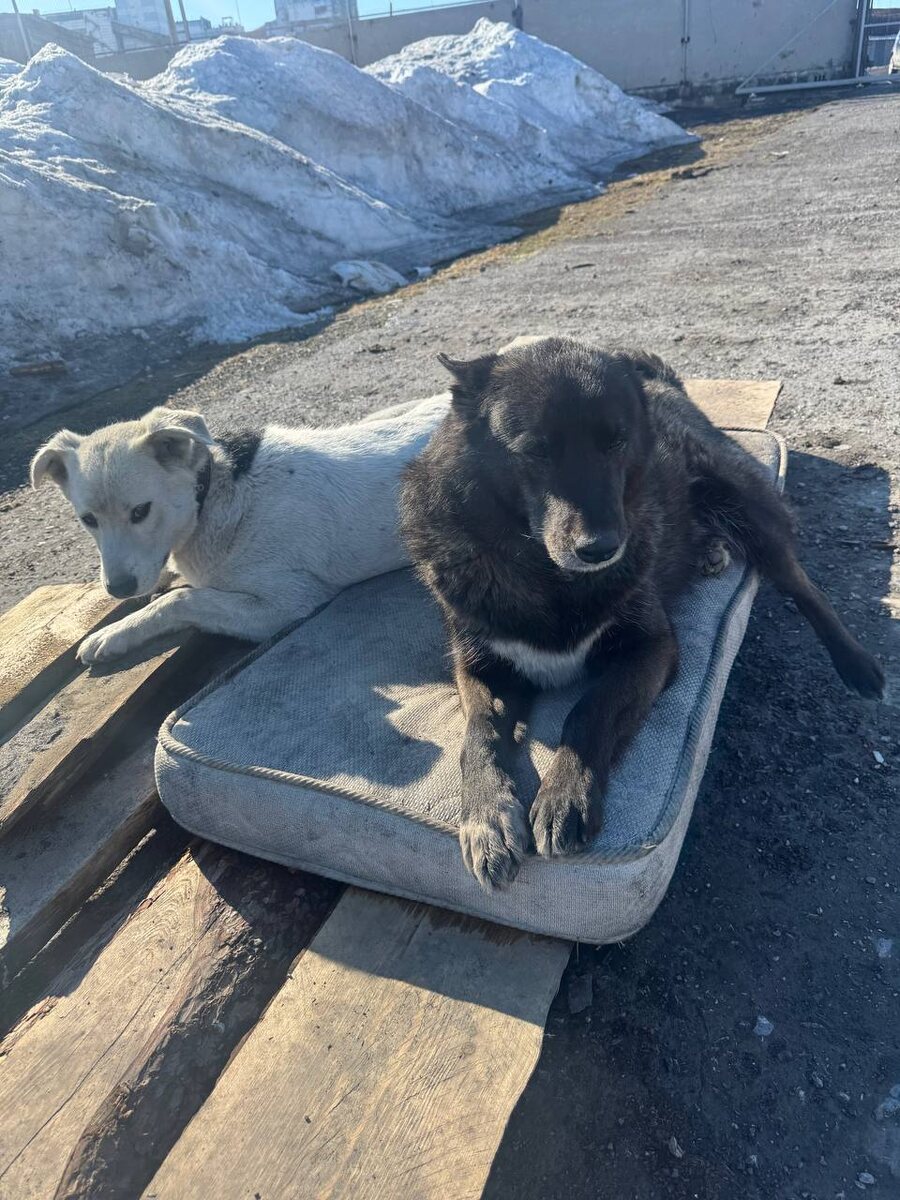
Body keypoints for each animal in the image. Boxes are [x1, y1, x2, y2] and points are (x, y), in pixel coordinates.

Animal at [31, 397, 449, 664]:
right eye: (88, 520)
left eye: (141, 511)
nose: (118, 590)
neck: (215, 495)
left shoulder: (289, 602)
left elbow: (182, 599)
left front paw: (114, 633)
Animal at [399, 338, 885, 891]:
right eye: (535, 450)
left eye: (616, 442)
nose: (603, 548)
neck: (547, 573)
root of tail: (660, 380)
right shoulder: (480, 668)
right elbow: (477, 735)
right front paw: (486, 815)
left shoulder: (652, 648)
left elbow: (590, 709)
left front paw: (566, 795)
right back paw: (710, 550)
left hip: (747, 508)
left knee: (803, 585)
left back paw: (856, 665)